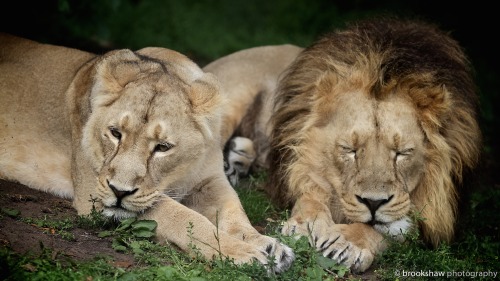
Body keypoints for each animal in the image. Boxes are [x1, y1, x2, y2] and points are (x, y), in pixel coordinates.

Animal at [0, 32, 292, 272]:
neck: (176, 175)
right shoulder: (93, 190)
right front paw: (244, 253)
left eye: (162, 147)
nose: (119, 192)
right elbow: (184, 217)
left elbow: (235, 213)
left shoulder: (209, 181)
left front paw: (269, 246)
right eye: (115, 133)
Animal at [205, 17, 482, 272]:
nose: (373, 203)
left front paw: (348, 242)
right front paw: (305, 226)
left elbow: (392, 225)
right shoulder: (303, 162)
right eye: (350, 150)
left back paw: (236, 159)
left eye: (402, 153)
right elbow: (310, 197)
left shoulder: (441, 206)